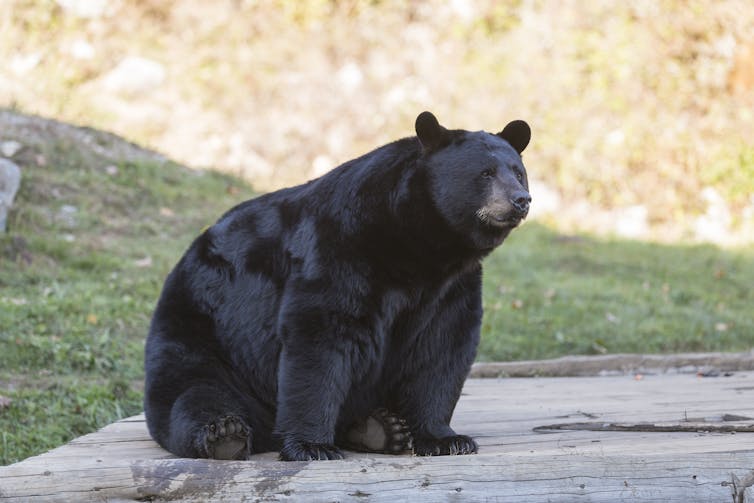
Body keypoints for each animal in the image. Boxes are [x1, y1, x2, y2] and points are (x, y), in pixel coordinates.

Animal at [142, 112, 528, 462]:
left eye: (518, 171)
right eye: (485, 173)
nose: (521, 199)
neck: (419, 245)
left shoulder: (451, 286)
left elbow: (443, 347)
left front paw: (446, 439)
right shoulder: (341, 246)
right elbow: (321, 335)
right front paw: (311, 446)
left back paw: (381, 428)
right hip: (205, 332)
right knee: (193, 392)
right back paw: (226, 435)